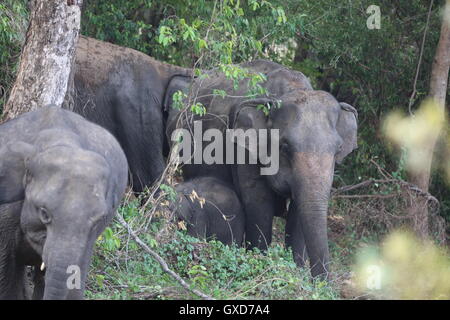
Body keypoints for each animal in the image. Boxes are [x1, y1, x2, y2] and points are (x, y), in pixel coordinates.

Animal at [163, 59, 356, 278]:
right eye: (285, 146)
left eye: (338, 149)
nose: (322, 283)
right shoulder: (243, 149)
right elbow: (258, 202)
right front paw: (261, 264)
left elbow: (298, 212)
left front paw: (296, 273)